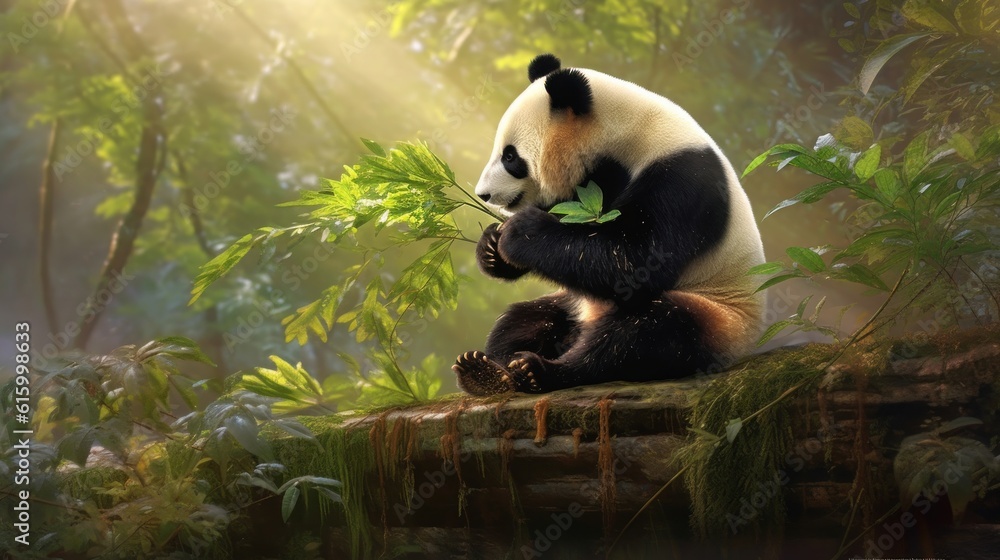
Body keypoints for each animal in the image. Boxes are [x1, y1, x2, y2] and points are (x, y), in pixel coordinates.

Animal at [452, 54, 766, 395]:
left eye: (510, 157)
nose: (484, 194)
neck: (631, 133)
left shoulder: (684, 180)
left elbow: (637, 260)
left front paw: (520, 232)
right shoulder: (593, 182)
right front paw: (491, 247)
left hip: (718, 318)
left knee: (646, 334)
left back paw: (541, 371)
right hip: (573, 302)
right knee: (525, 319)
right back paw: (487, 371)